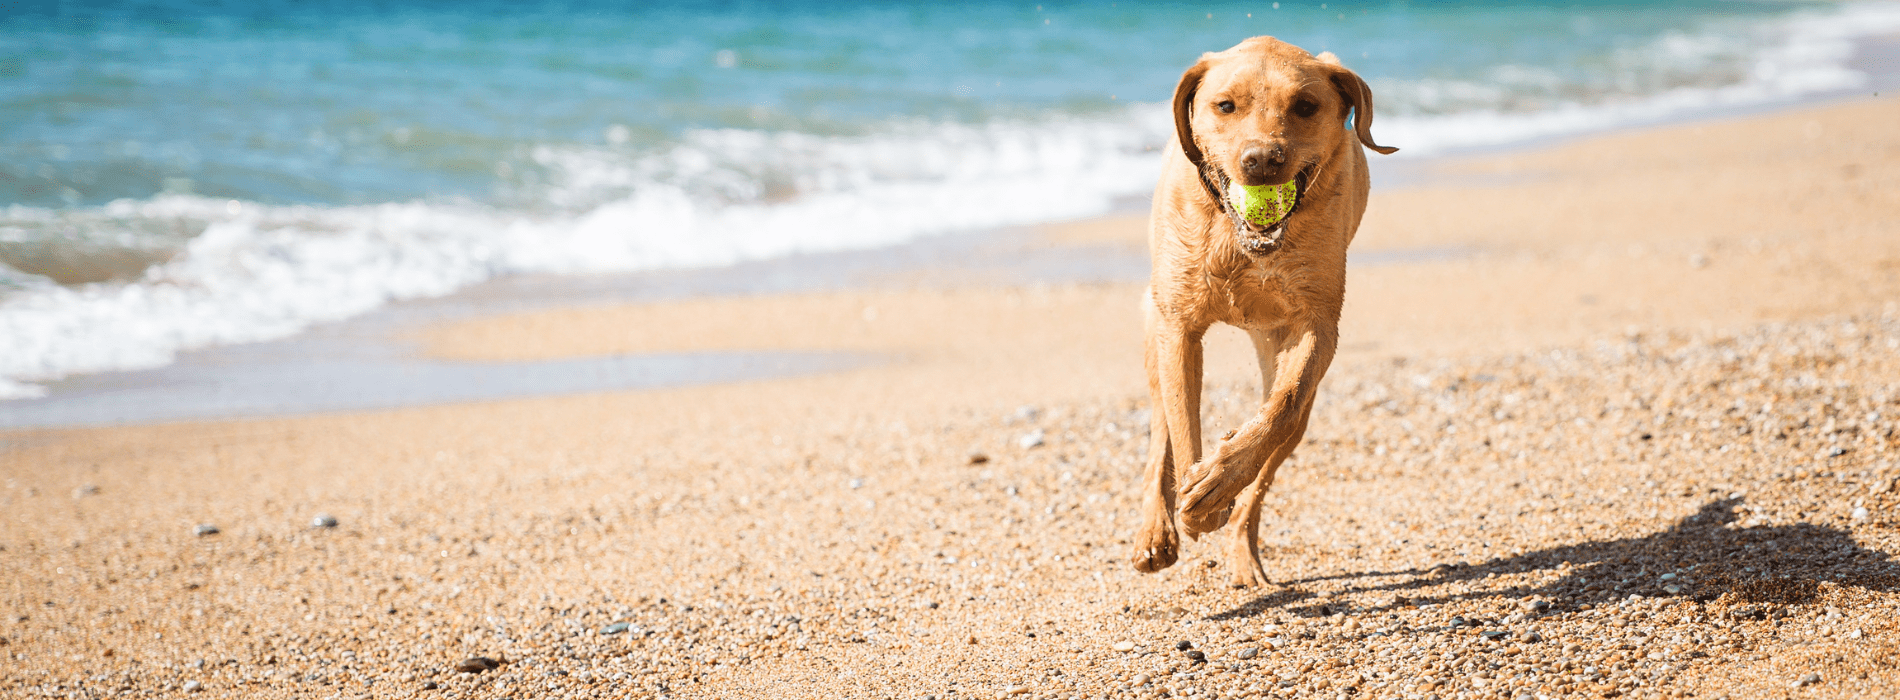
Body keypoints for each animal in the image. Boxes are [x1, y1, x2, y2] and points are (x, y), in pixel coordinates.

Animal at [1124, 36, 1398, 585]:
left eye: (1306, 106)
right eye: (1225, 105)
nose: (1262, 160)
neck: (1241, 241)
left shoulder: (1317, 325)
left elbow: (1283, 405)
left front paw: (1217, 481)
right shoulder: (1178, 327)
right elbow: (1182, 424)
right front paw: (1196, 498)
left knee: (1271, 458)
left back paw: (1242, 552)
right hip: (1154, 328)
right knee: (1160, 429)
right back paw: (1156, 531)